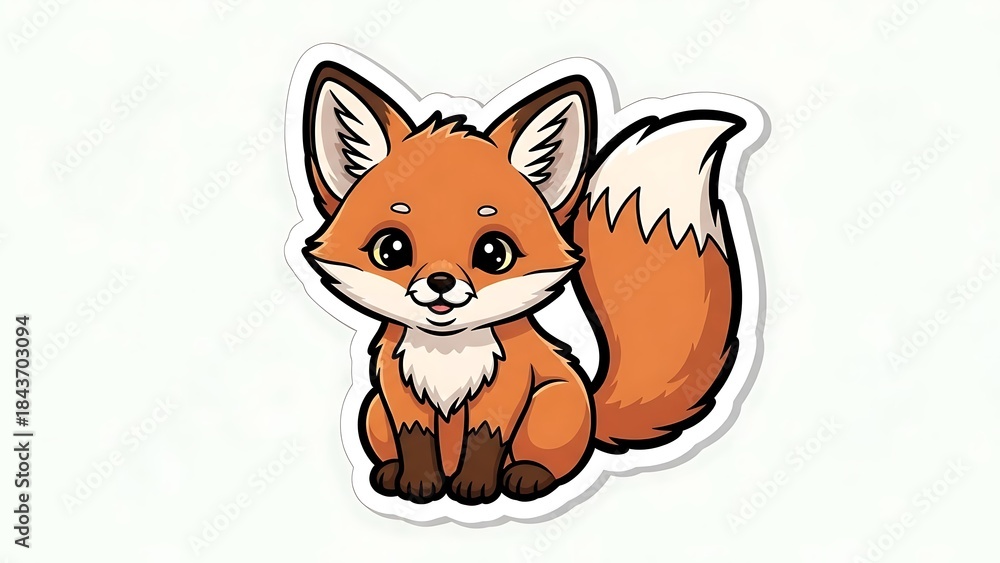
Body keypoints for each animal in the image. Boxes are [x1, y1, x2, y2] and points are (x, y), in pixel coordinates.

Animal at [298, 61, 745, 506]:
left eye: (494, 253)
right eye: (390, 250)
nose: (440, 282)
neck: (448, 354)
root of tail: (594, 412)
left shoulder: (509, 388)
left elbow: (485, 440)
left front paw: (475, 489)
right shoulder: (397, 391)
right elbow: (416, 441)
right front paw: (418, 485)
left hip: (552, 401)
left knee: (550, 463)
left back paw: (528, 477)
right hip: (374, 409)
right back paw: (392, 473)